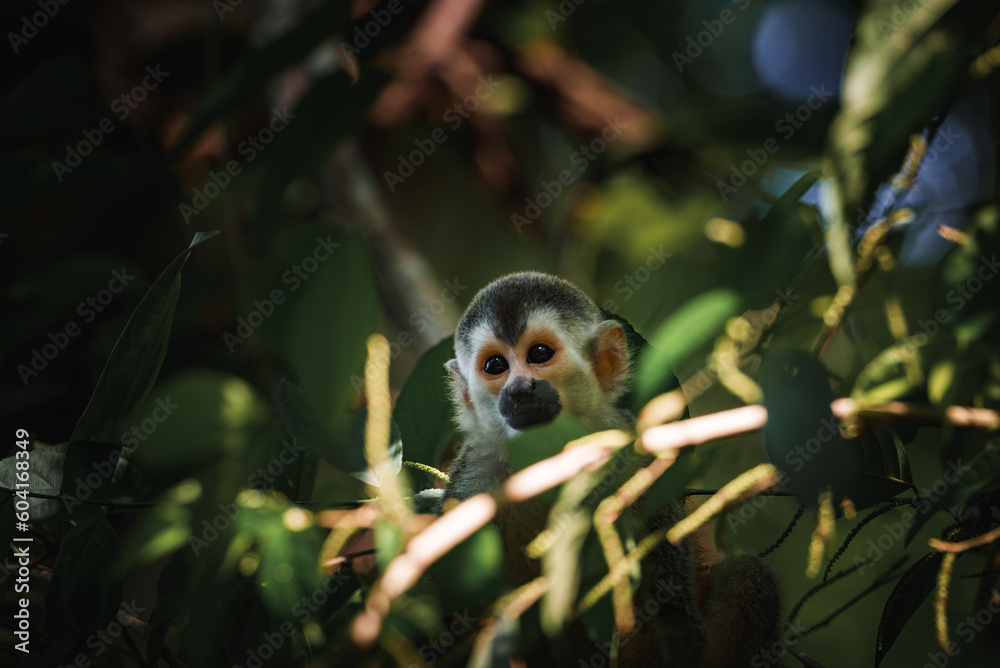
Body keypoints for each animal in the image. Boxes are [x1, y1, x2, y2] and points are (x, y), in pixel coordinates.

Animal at [432, 271, 781, 667]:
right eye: (495, 366)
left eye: (539, 355)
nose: (519, 389)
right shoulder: (474, 480)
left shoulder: (634, 464)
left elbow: (667, 622)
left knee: (748, 575)